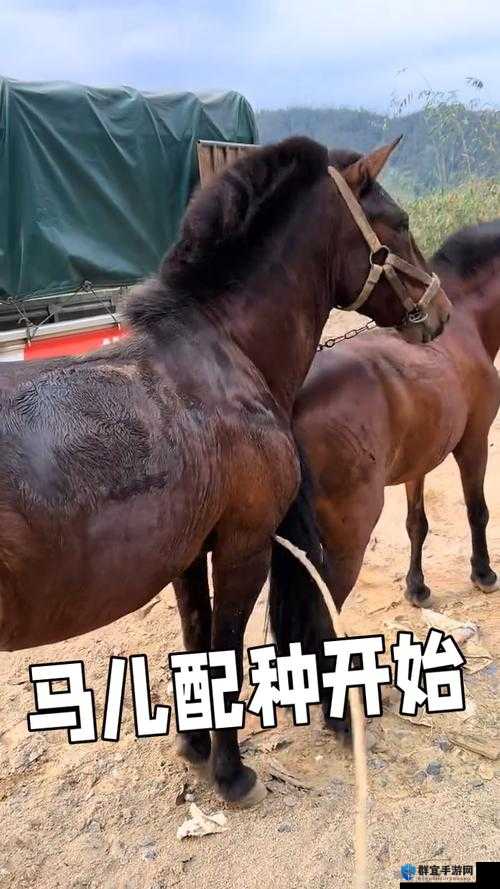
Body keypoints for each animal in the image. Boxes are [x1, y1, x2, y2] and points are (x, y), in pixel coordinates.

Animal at [0, 136, 450, 806]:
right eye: (399, 223)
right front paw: (231, 773)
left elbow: (195, 638)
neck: (221, 359)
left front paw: (194, 747)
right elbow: (226, 650)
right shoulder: (245, 545)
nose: (442, 310)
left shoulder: (187, 555)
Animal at [269, 219, 500, 707]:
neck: (466, 323)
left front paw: (417, 587)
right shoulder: (474, 443)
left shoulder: (418, 464)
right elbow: (478, 511)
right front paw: (483, 572)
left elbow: (417, 525)